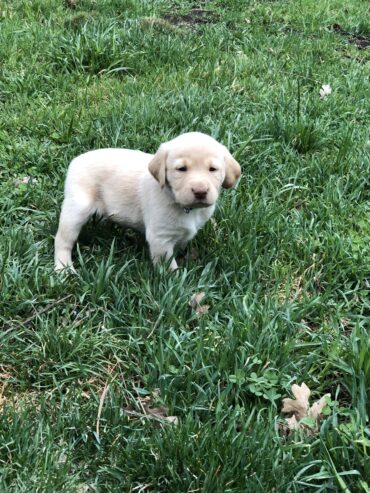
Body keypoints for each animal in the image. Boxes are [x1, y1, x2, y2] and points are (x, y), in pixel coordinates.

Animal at [54, 131, 240, 270]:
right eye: (181, 169)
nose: (200, 191)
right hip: (76, 209)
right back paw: (63, 269)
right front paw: (175, 283)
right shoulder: (160, 238)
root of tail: (76, 159)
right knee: (62, 240)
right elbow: (169, 266)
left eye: (213, 169)